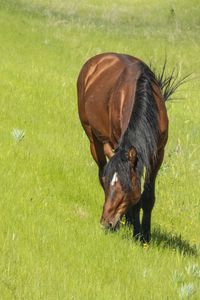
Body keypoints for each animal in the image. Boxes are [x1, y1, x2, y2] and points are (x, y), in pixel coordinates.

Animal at [77, 52, 184, 243]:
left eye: (126, 187)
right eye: (108, 185)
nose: (106, 223)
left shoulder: (157, 155)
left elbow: (147, 197)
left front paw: (145, 236)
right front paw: (136, 232)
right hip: (93, 139)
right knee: (100, 167)